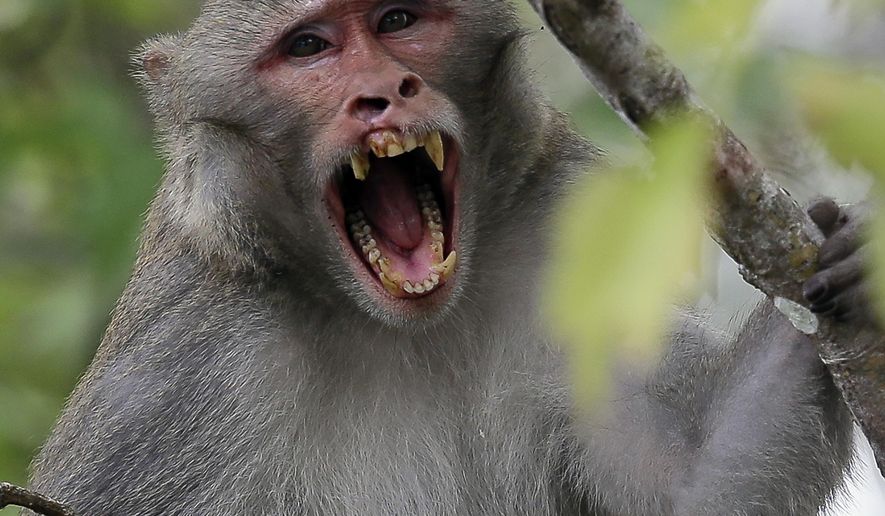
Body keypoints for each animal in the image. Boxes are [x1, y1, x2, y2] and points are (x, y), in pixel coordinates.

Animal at [24, 1, 869, 514]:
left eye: (398, 20)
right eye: (309, 47)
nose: (383, 91)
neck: (401, 323)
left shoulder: (557, 233)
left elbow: (688, 485)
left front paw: (844, 263)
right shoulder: (182, 369)